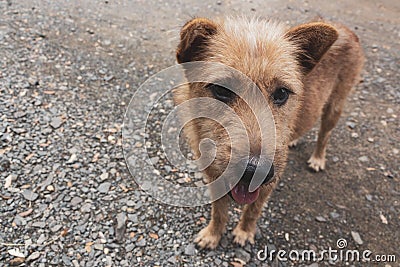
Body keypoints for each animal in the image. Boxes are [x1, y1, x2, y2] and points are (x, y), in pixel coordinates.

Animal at [172, 17, 362, 251]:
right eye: (222, 90)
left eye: (281, 93)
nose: (254, 171)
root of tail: (346, 29)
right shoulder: (213, 175)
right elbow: (219, 211)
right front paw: (213, 234)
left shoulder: (271, 180)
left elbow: (253, 211)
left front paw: (244, 232)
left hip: (334, 107)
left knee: (324, 135)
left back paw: (318, 158)